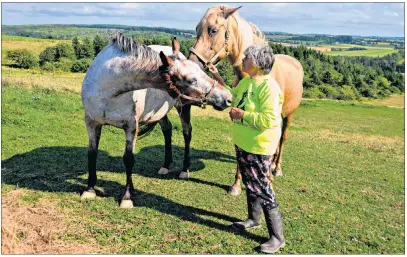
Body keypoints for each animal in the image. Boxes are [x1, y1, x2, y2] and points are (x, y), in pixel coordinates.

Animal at [81, 32, 233, 208]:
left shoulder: (131, 127)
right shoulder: (92, 123)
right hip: (160, 113)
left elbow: (128, 159)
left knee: (187, 133)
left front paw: (127, 197)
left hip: (183, 107)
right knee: (167, 130)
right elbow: (92, 154)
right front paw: (89, 189)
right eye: (191, 80)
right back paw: (165, 166)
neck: (107, 91)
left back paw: (184, 170)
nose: (228, 97)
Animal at [188, 5, 302, 194]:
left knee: (282, 139)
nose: (192, 64)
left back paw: (276, 168)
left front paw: (268, 180)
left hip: (288, 116)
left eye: (213, 30)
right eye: (196, 29)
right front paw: (236, 184)